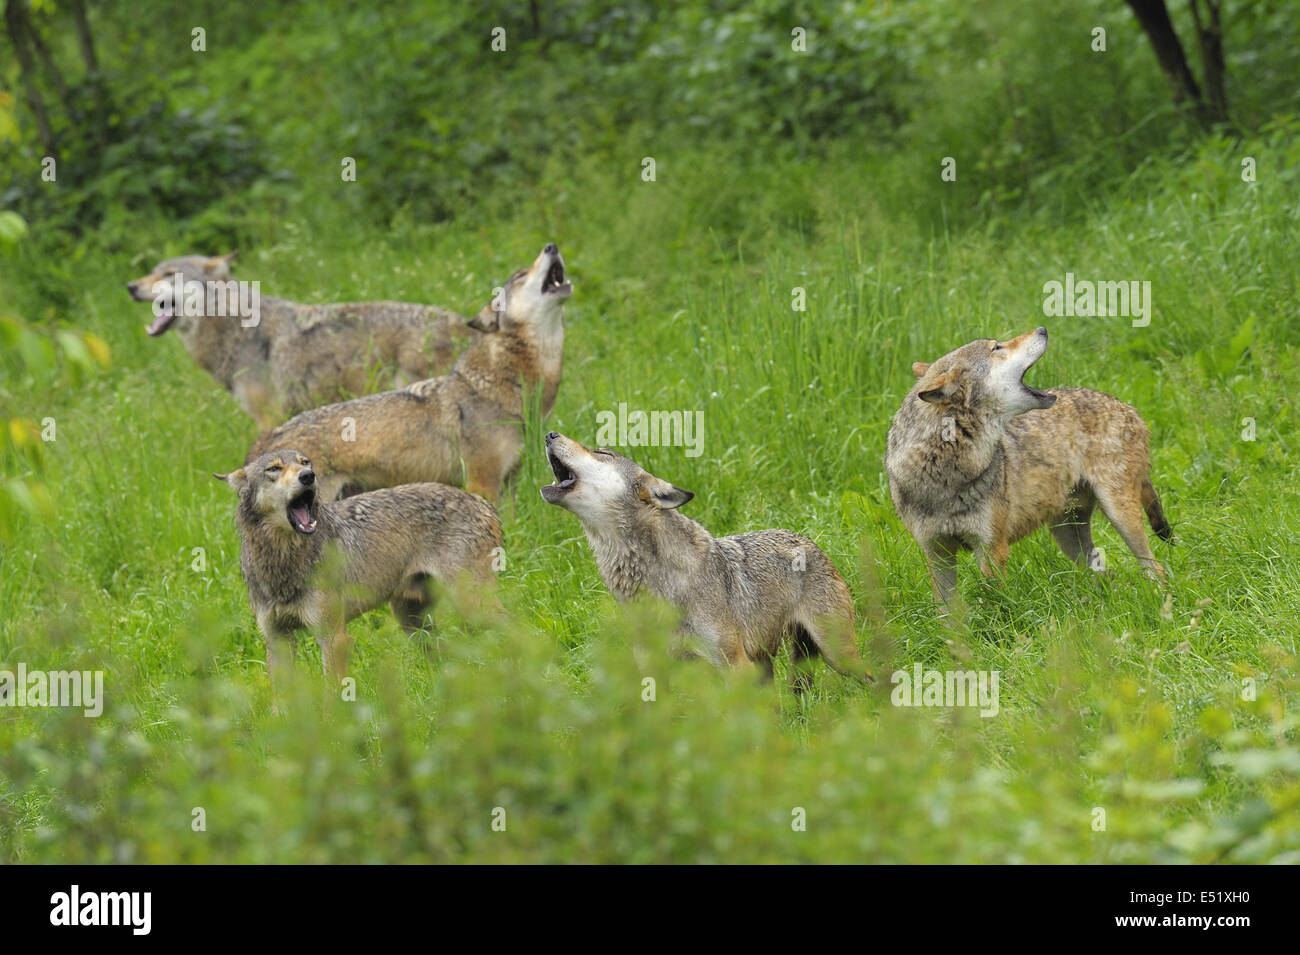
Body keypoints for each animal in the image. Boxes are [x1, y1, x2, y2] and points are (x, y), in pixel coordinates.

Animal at [126, 254, 470, 433]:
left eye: (170, 274)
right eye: (151, 272)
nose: (130, 286)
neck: (235, 329)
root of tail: (460, 322)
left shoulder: (268, 418)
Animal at [538, 433, 873, 686]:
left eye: (601, 452)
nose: (550, 434)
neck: (658, 584)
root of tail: (808, 540)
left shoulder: (734, 666)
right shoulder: (655, 672)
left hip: (837, 654)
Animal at [883, 324, 1170, 600]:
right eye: (997, 347)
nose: (1043, 328)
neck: (942, 471)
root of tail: (1128, 407)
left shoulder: (992, 549)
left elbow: (994, 605)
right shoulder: (937, 554)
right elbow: (947, 611)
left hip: (1119, 516)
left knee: (1156, 568)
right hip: (1068, 535)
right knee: (1106, 575)